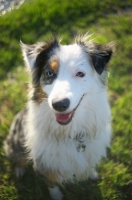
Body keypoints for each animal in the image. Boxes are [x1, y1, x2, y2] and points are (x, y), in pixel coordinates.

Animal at [3, 33, 113, 199]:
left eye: (80, 74)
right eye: (49, 73)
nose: (59, 104)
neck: (71, 132)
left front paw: (92, 174)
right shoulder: (45, 162)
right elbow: (51, 183)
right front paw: (56, 196)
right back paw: (19, 170)